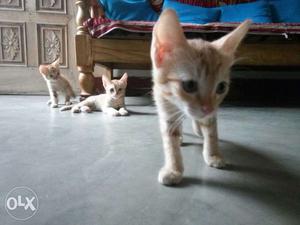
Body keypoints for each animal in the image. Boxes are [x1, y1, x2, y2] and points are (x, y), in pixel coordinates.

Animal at [150, 9, 251, 185]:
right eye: (189, 85)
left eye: (221, 87)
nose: (208, 108)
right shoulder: (166, 108)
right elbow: (170, 139)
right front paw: (174, 169)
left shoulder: (211, 114)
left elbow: (211, 132)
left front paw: (213, 154)